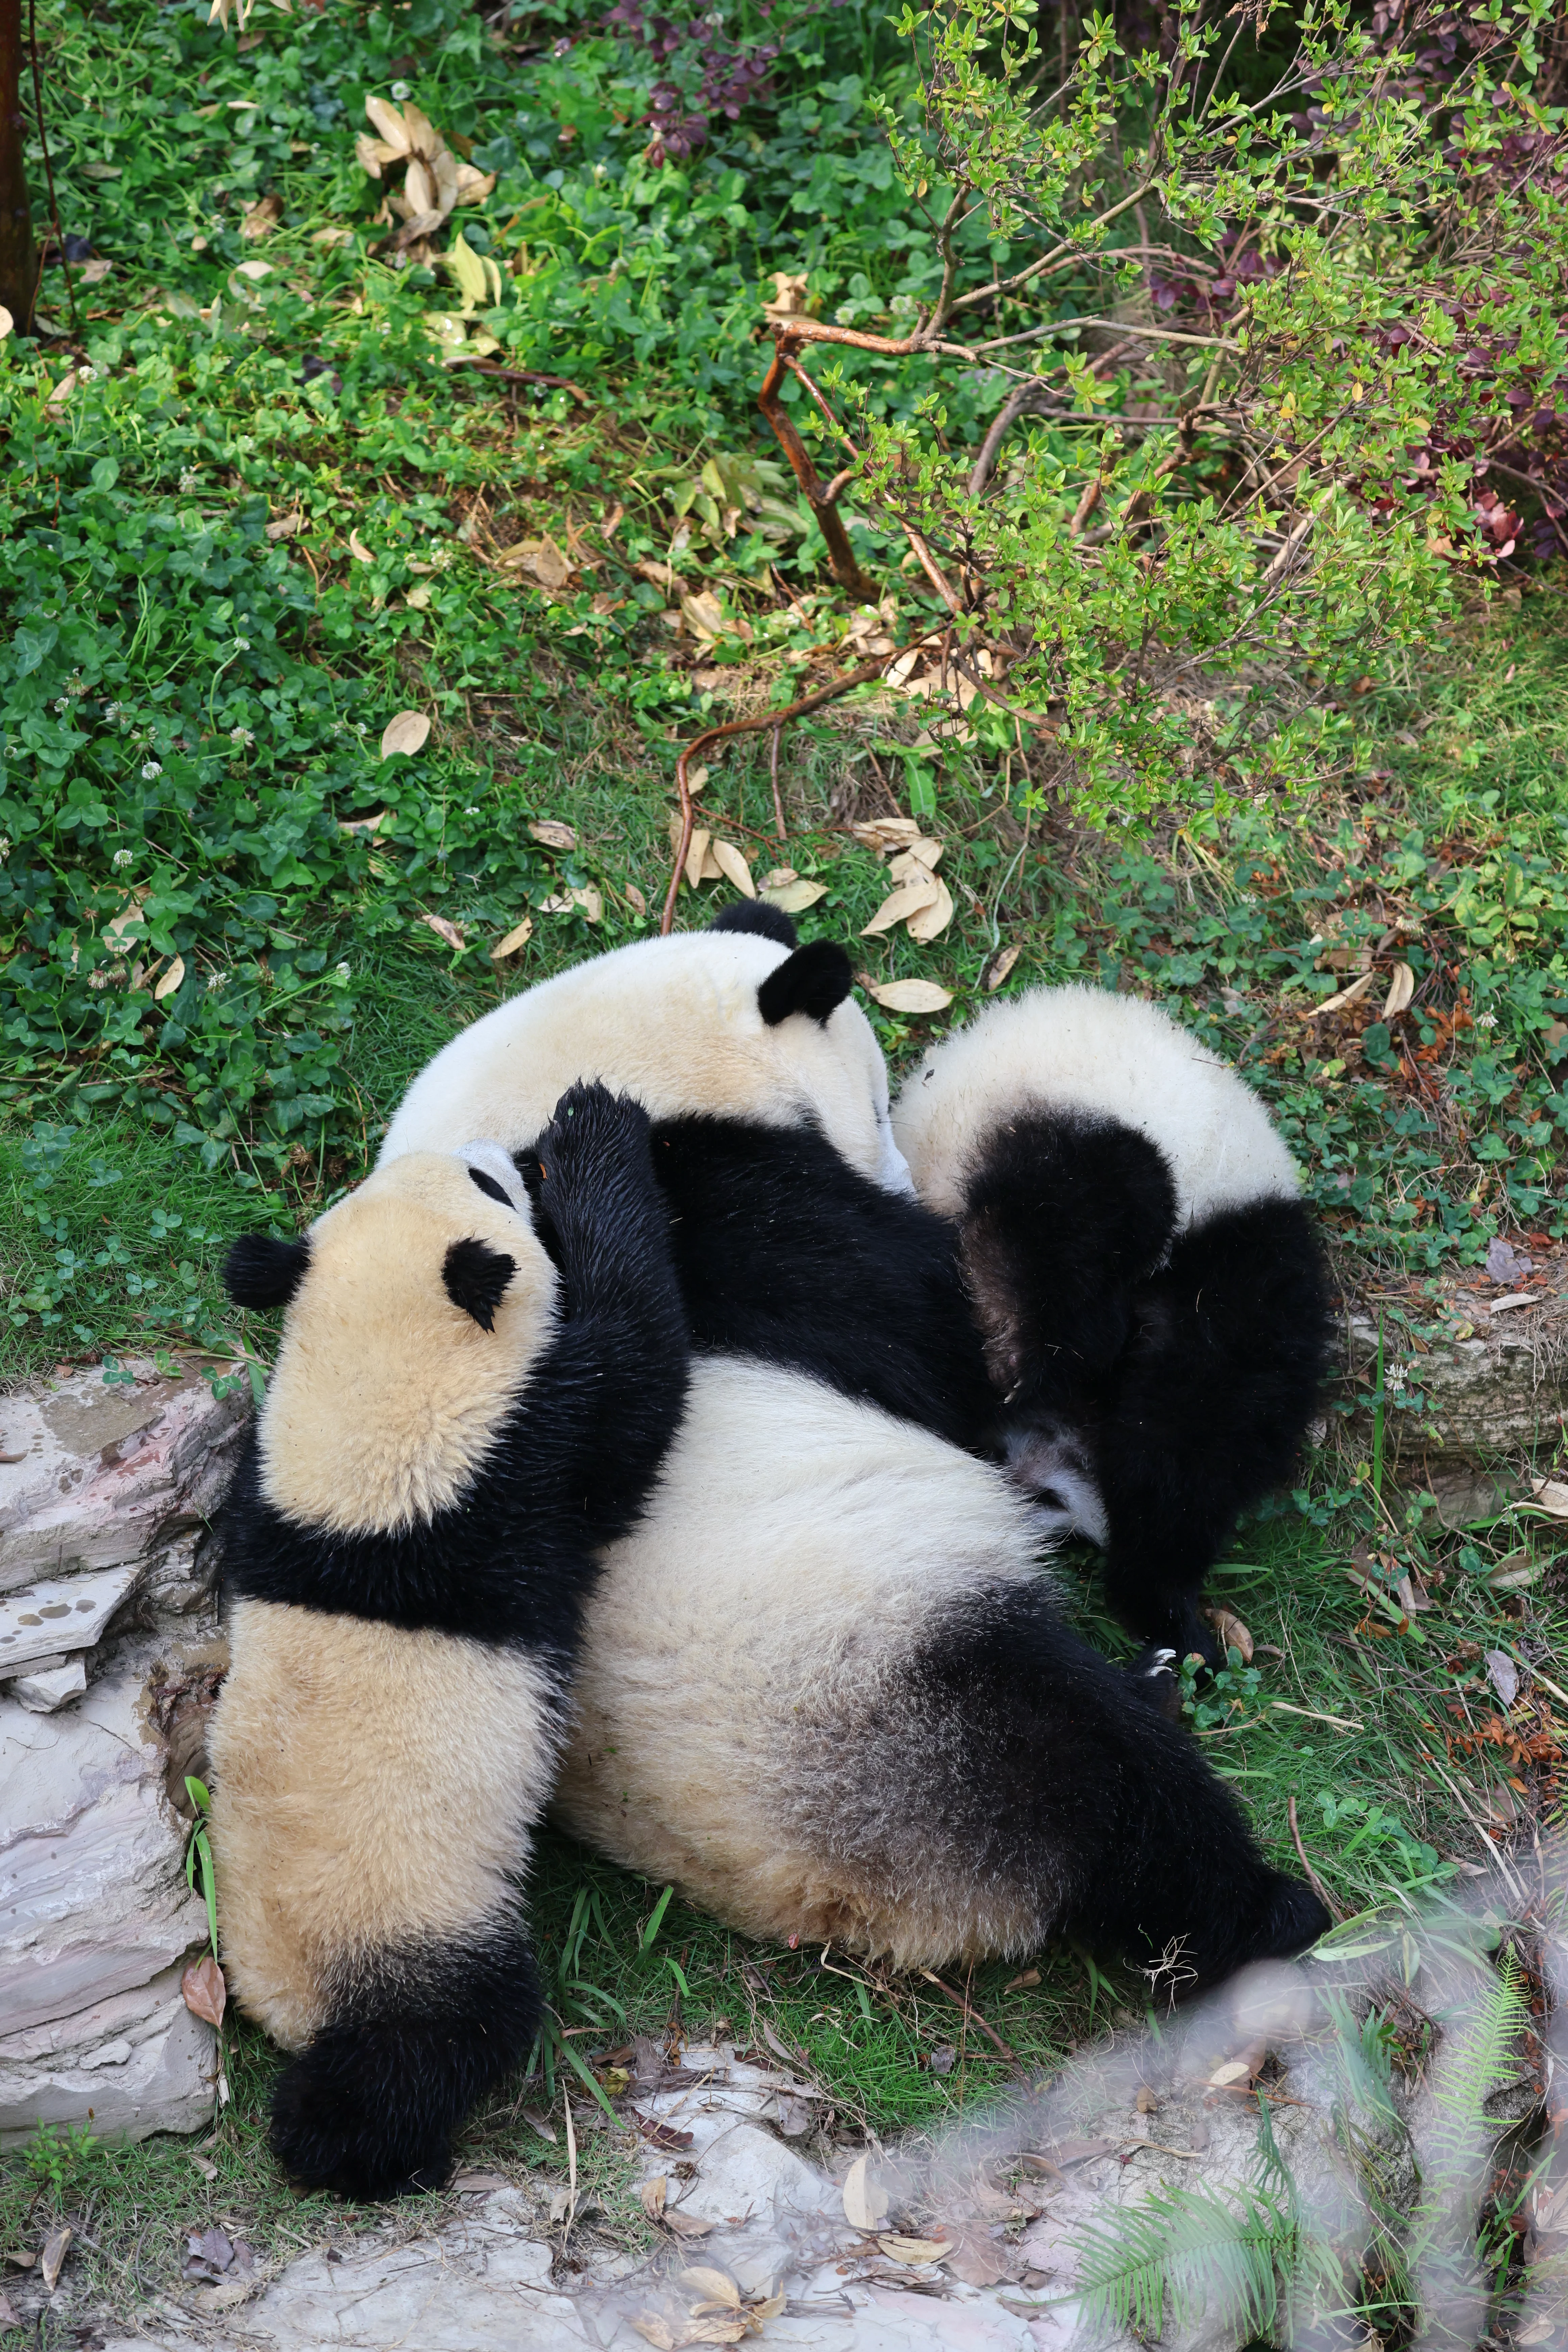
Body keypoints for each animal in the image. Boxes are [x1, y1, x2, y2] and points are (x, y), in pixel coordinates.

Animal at [207, 1082, 687, 2199]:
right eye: (485, 1184)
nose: (490, 1150)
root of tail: (292, 2009)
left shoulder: (270, 1501)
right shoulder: (520, 1464)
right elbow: (636, 1370)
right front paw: (593, 1133)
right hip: (424, 1929)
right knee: (437, 2042)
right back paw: (366, 2147)